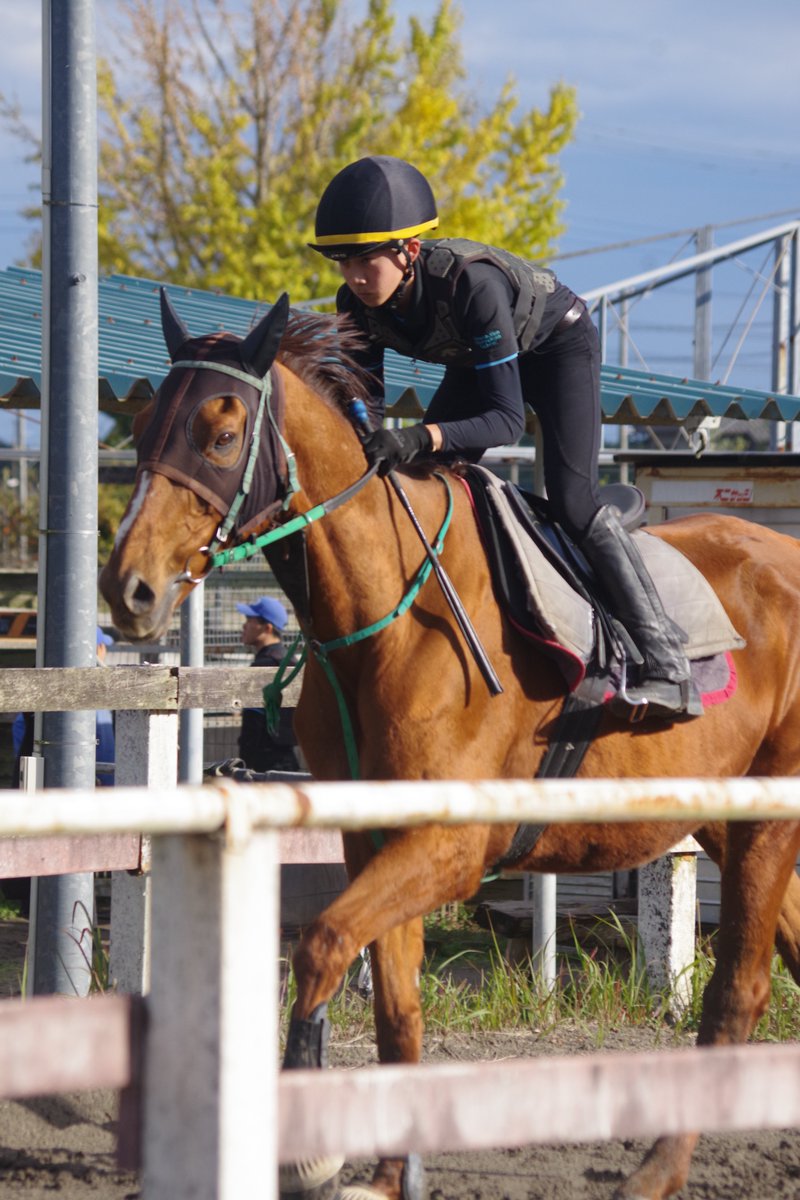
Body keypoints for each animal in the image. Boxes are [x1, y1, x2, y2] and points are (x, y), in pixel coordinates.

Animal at [99, 292, 800, 1200]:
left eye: (220, 435)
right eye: (146, 427)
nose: (128, 589)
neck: (383, 619)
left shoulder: (452, 844)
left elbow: (321, 945)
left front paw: (309, 1149)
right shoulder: (373, 837)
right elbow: (395, 1006)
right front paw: (388, 1174)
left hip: (768, 819)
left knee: (739, 986)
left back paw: (656, 1169)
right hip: (728, 817)